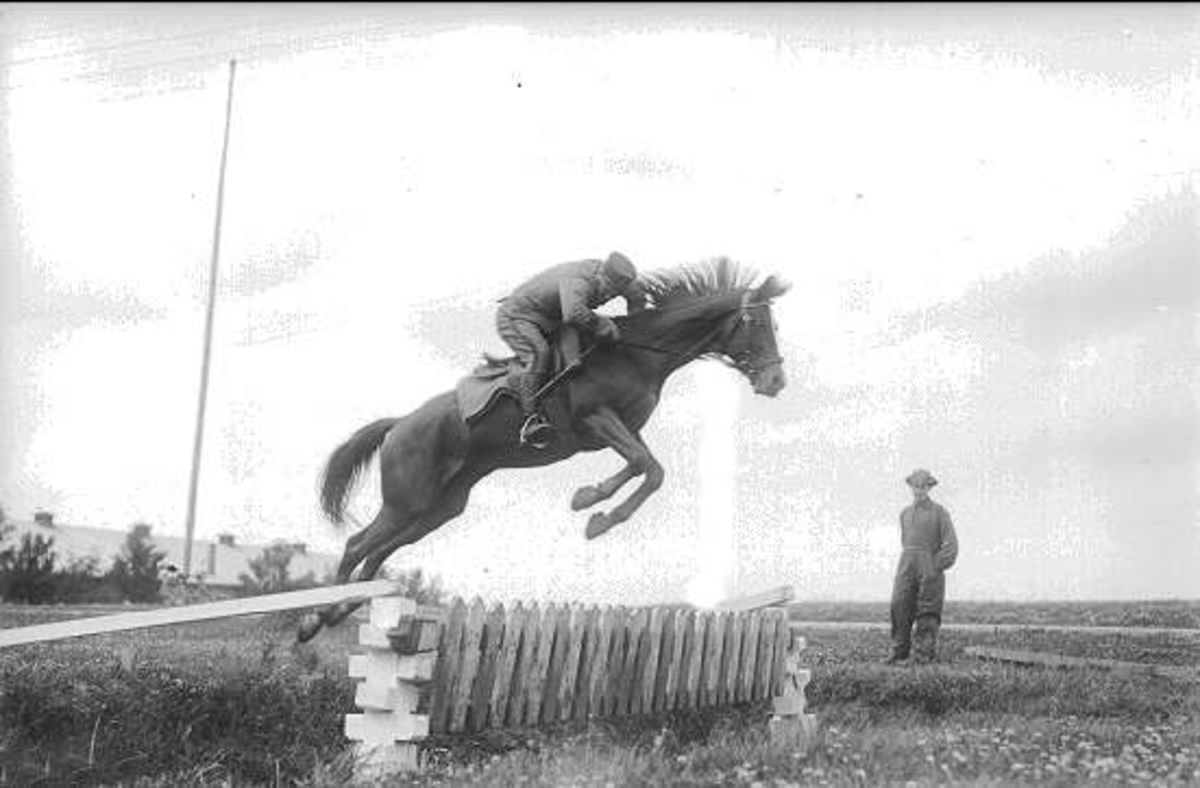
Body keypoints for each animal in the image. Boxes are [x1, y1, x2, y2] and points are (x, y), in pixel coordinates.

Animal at [297, 257, 791, 642]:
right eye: (758, 324)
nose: (776, 382)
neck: (636, 353)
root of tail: (399, 423)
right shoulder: (595, 419)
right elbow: (643, 465)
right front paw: (591, 505)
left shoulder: (624, 428)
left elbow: (650, 470)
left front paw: (596, 511)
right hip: (408, 498)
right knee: (358, 545)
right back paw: (315, 617)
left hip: (442, 506)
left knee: (379, 552)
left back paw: (339, 611)